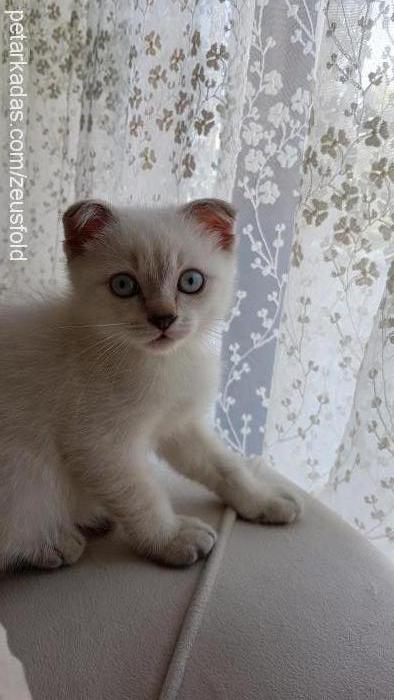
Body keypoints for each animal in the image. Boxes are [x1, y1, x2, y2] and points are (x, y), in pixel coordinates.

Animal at [0, 200, 300, 572]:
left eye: (191, 281)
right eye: (124, 285)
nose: (163, 318)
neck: (163, 364)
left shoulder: (180, 424)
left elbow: (225, 466)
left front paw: (263, 499)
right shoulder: (100, 445)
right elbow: (141, 495)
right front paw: (172, 538)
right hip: (22, 467)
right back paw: (53, 543)